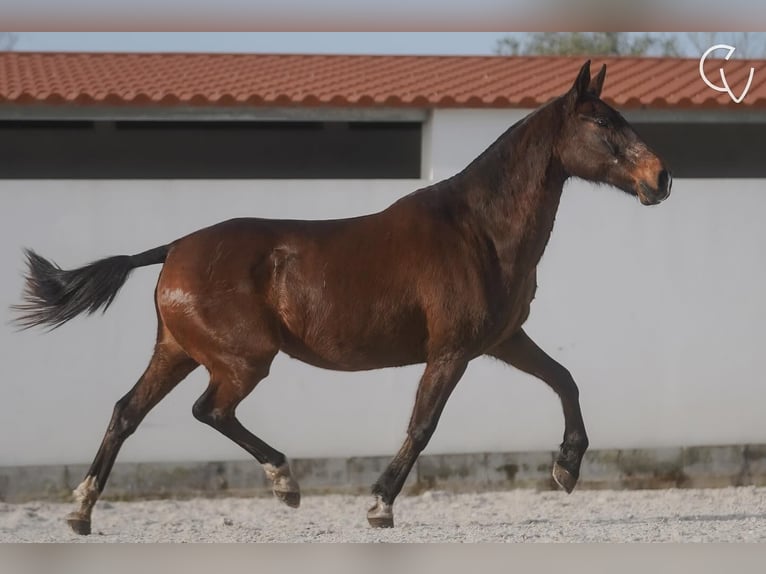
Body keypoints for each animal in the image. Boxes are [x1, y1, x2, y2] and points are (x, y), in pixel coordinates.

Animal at [12, 62, 672, 536]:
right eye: (603, 124)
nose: (660, 179)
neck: (478, 229)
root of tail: (174, 248)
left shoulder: (504, 340)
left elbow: (565, 380)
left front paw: (567, 467)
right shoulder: (452, 350)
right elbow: (423, 424)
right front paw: (379, 504)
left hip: (176, 351)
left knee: (127, 411)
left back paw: (81, 511)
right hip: (242, 359)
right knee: (209, 411)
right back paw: (285, 483)